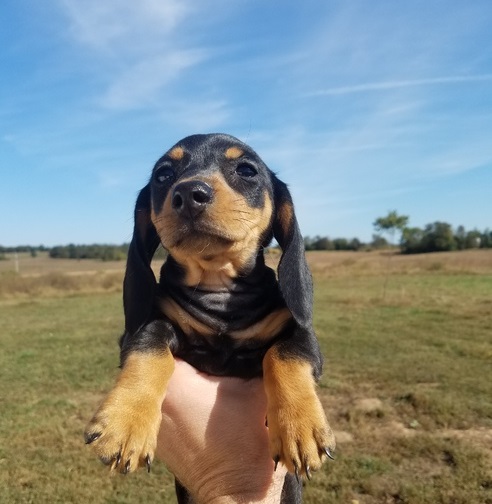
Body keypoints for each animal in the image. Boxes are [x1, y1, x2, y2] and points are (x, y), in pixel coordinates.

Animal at [86, 132, 336, 502]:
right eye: (163, 175)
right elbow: (150, 349)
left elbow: (283, 355)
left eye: (246, 170)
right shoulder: (145, 328)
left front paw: (300, 428)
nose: (190, 194)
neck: (216, 283)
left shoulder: (302, 335)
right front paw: (125, 423)